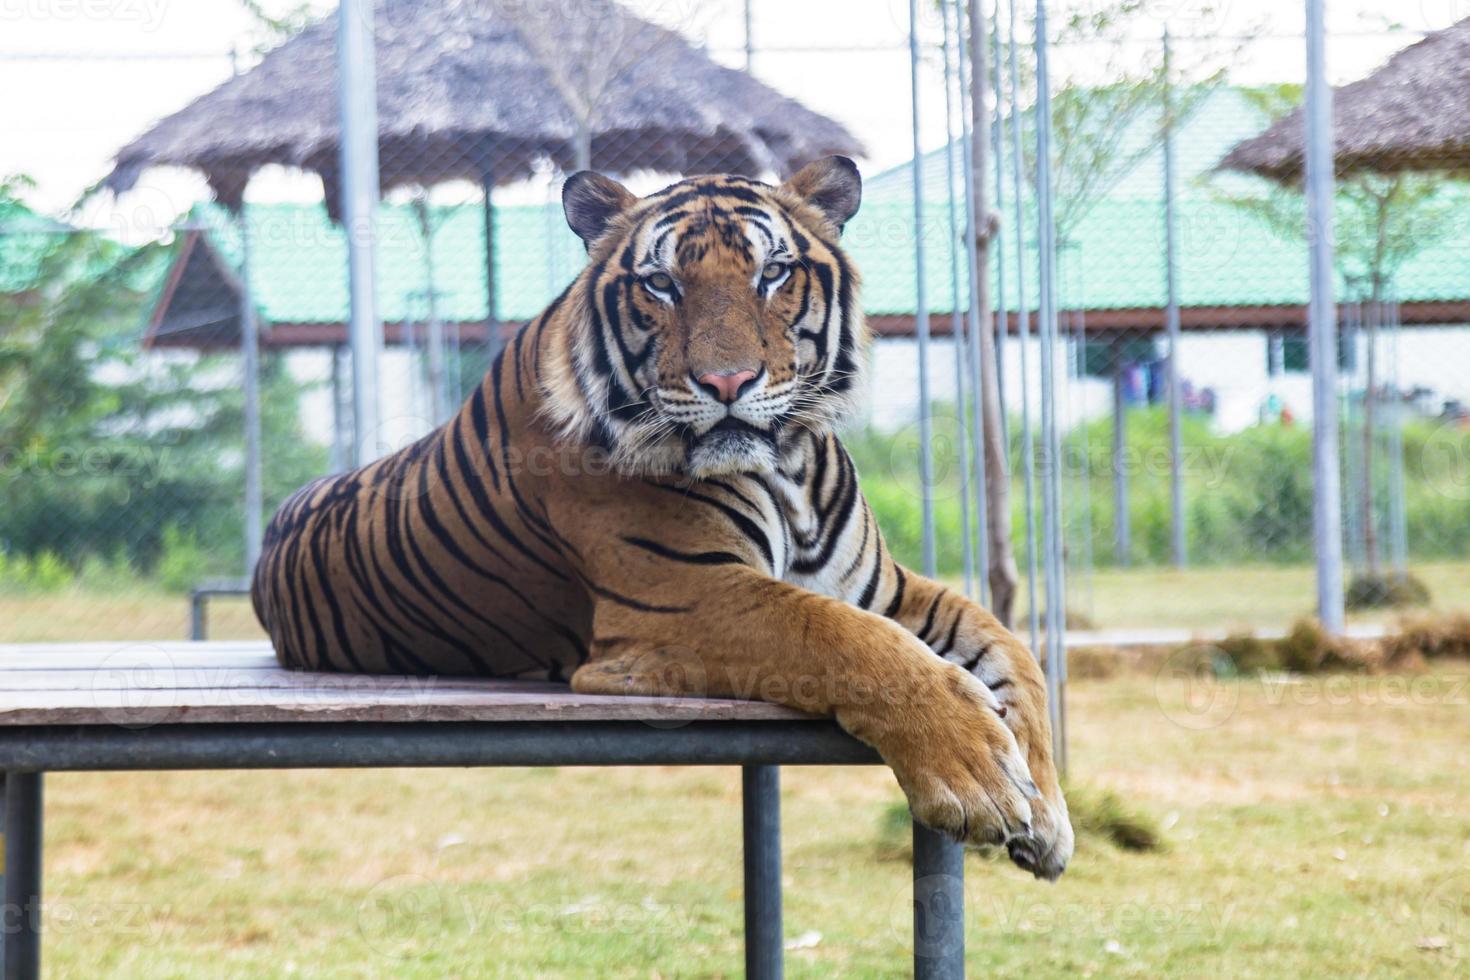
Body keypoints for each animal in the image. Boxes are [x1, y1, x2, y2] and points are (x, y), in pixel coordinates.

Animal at [252, 157, 1076, 875]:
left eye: (772, 273)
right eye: (662, 284)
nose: (727, 381)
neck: (787, 469)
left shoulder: (888, 588)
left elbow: (1010, 650)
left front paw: (1045, 814)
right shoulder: (688, 596)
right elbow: (847, 641)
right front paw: (979, 782)